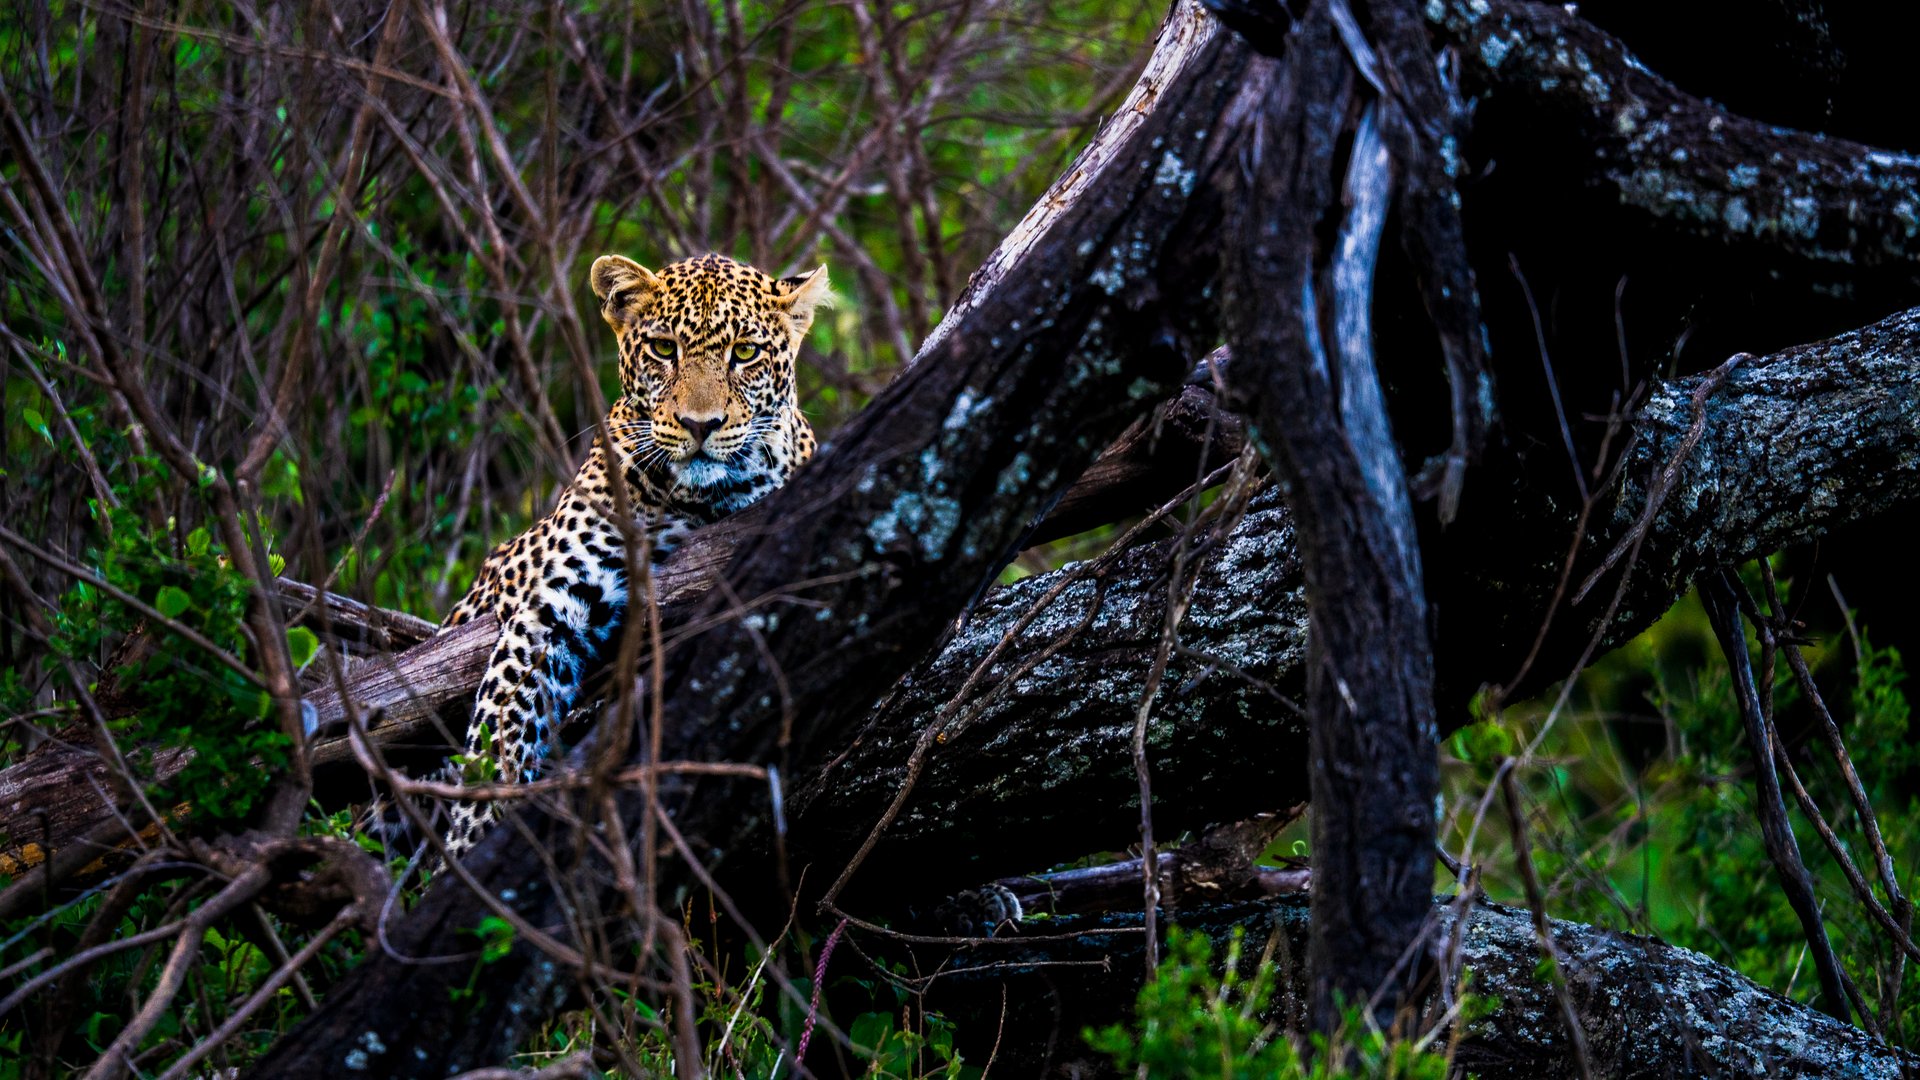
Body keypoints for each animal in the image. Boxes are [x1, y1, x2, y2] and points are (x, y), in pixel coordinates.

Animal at [433, 252, 828, 859]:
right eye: (664, 349)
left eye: (745, 353)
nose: (700, 425)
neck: (700, 500)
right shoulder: (550, 603)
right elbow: (500, 734)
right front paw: (468, 854)